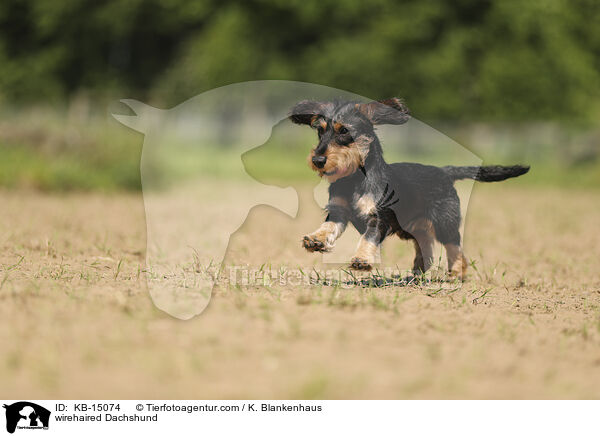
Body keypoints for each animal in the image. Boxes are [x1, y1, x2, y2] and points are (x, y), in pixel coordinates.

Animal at [290, 97, 528, 278]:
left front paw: (362, 259)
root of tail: (445, 171)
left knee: (455, 247)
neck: (353, 180)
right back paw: (416, 274)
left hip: (445, 223)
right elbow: (329, 226)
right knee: (427, 249)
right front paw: (315, 239)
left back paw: (456, 274)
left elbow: (368, 236)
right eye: (320, 131)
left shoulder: (379, 216)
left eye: (344, 131)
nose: (317, 160)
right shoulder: (339, 211)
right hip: (415, 228)